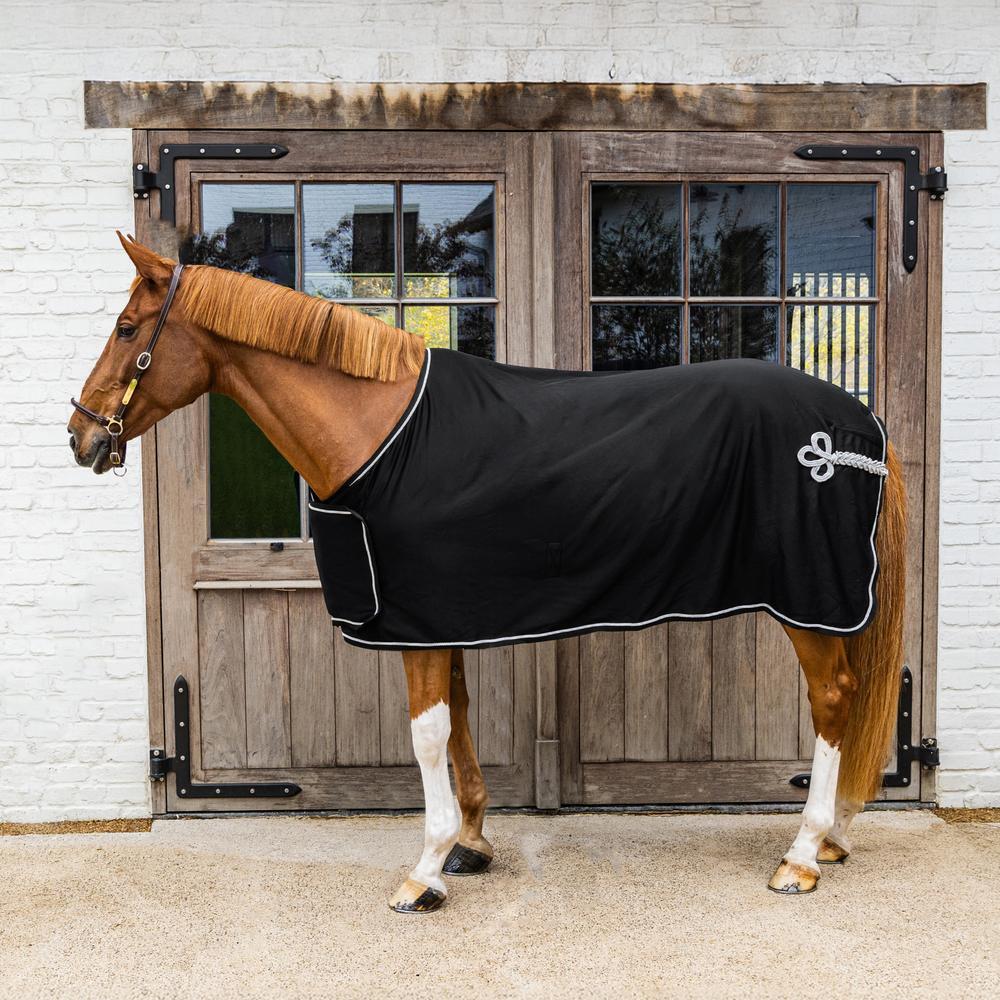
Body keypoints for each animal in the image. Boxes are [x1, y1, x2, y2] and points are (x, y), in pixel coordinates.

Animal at [69, 234, 906, 912]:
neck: (382, 434)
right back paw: (832, 837)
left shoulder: (415, 623)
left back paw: (803, 854)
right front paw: (470, 844)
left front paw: (424, 870)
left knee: (834, 699)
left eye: (127, 329)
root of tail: (860, 425)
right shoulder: (438, 616)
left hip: (809, 601)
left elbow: (428, 735)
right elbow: (462, 719)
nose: (81, 435)